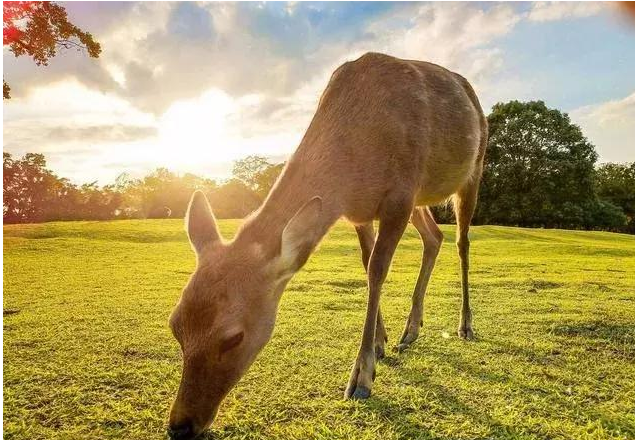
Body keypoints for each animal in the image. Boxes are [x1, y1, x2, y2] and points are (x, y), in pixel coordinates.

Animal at [167, 52, 487, 440]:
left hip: (473, 168)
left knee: (461, 241)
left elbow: (378, 269)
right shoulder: (361, 212)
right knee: (434, 236)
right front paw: (380, 342)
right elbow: (367, 264)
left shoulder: (399, 194)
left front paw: (362, 376)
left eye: (233, 337)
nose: (180, 426)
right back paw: (410, 331)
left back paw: (465, 325)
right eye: (175, 325)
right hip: (421, 200)